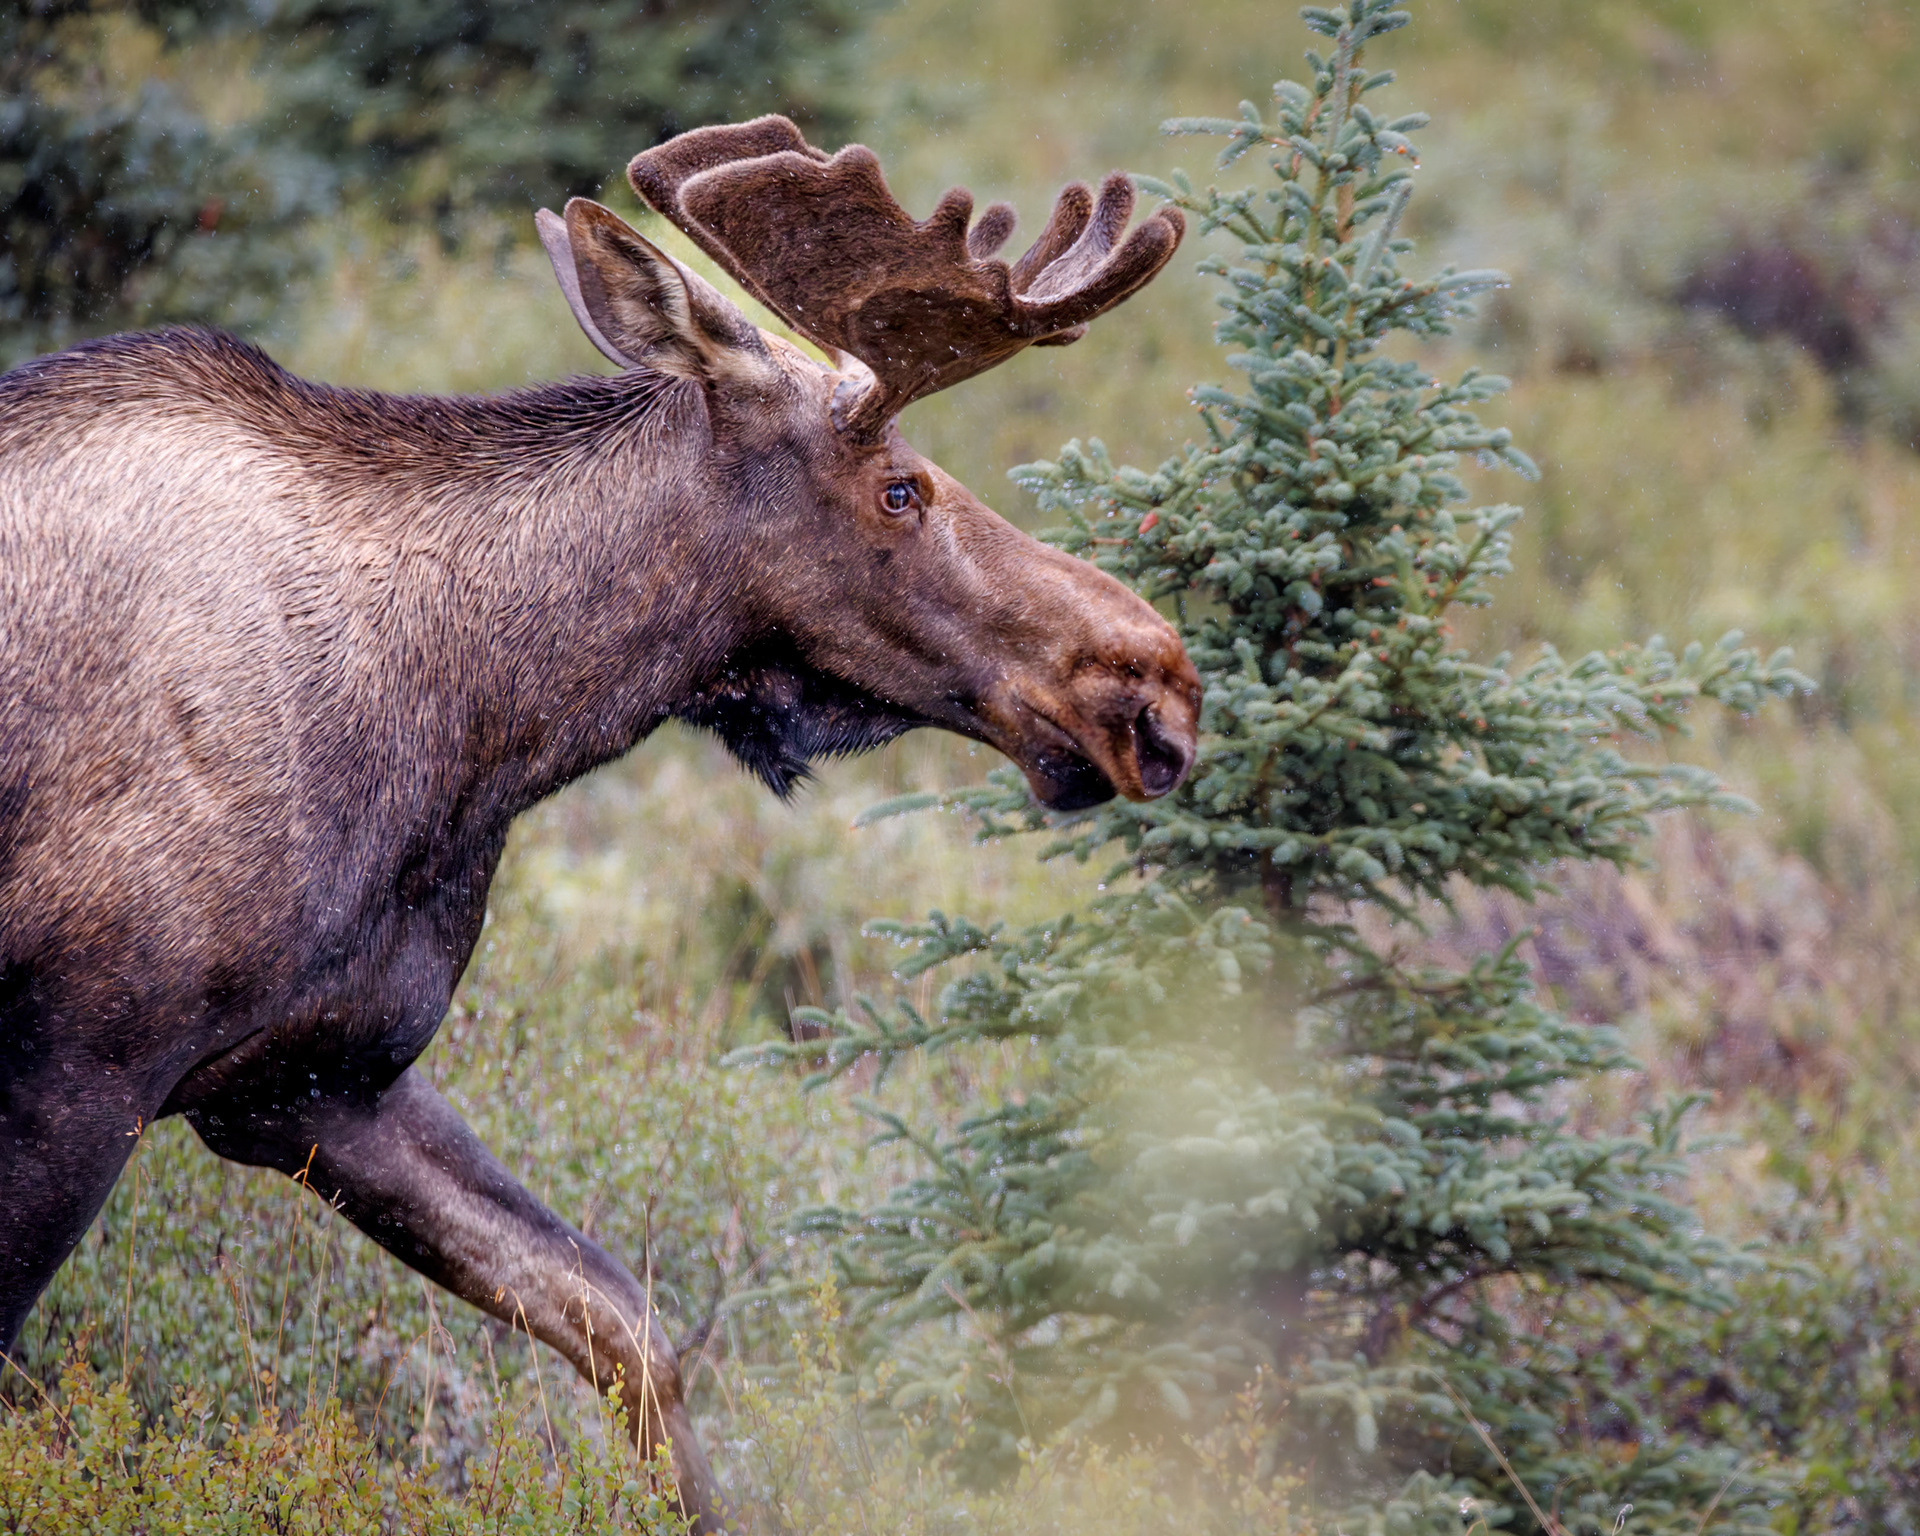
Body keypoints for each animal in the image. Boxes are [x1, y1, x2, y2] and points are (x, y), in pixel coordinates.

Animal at [0, 116, 1195, 1529]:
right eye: (903, 488)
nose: (1157, 685)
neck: (473, 727)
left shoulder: (310, 1079)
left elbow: (624, 1325)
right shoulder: (80, 1066)